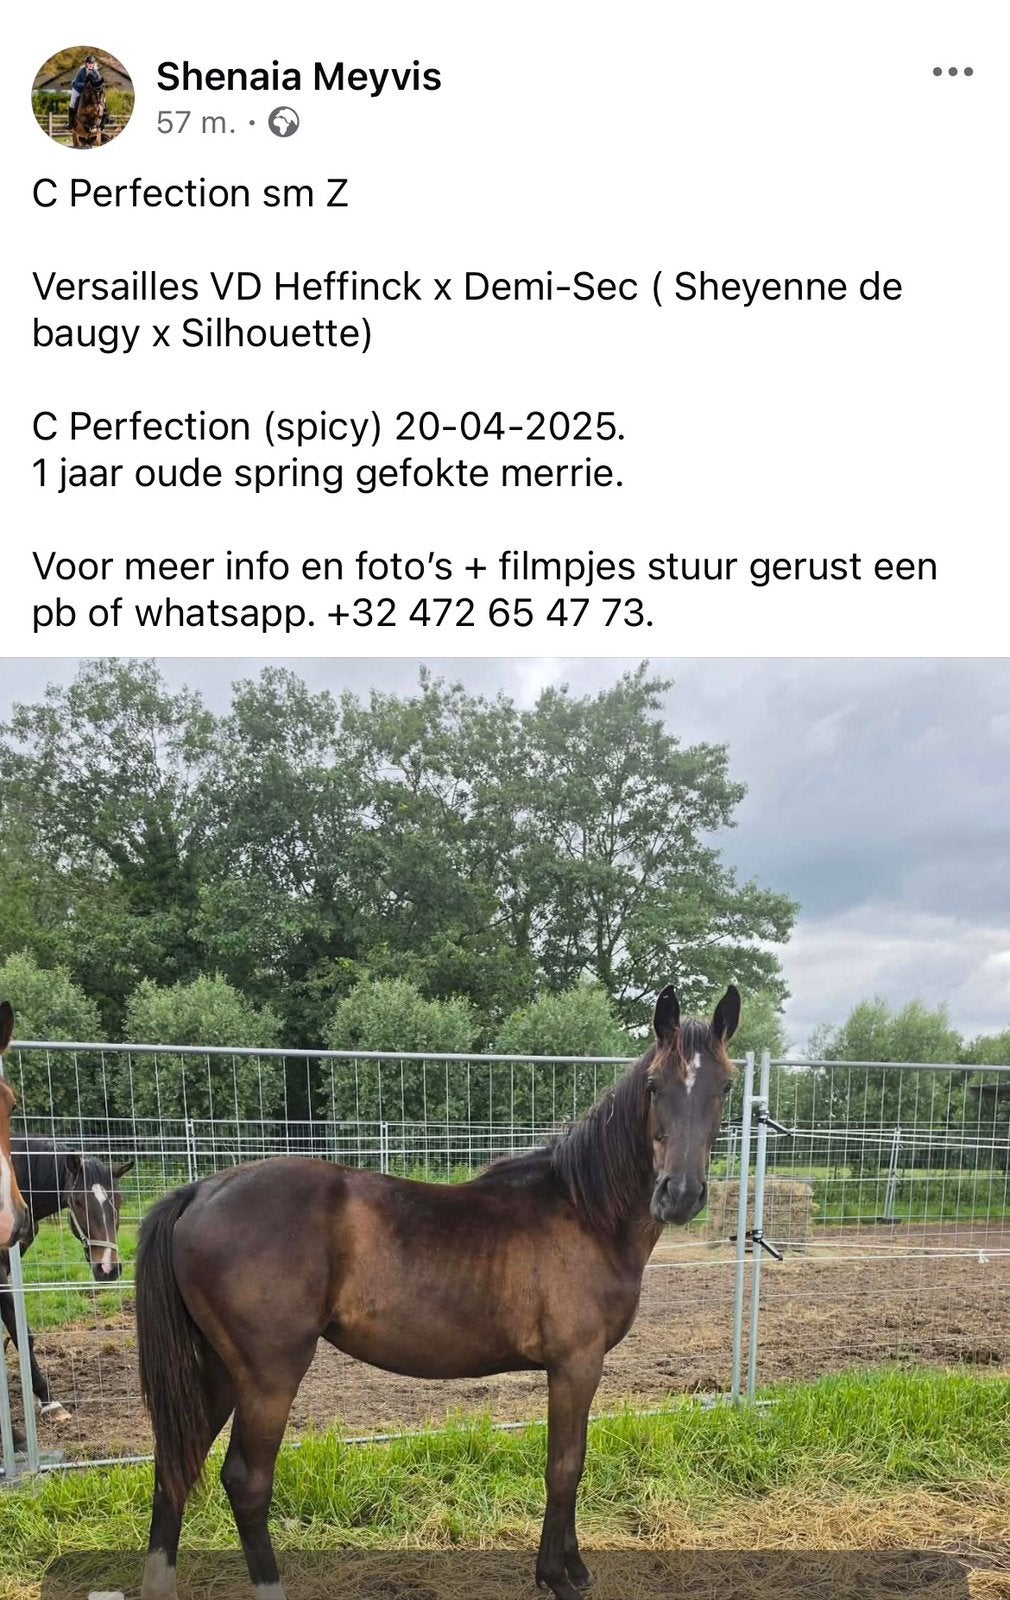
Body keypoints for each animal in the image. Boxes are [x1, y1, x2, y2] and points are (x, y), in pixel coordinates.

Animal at [135, 984, 740, 1600]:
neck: (584, 1210)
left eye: (726, 1086)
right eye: (654, 1085)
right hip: (268, 1375)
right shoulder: (575, 1364)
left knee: (175, 1462)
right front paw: (556, 1577)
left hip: (218, 1369)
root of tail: (200, 1191)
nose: (680, 1194)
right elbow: (564, 1466)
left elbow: (574, 1459)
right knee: (246, 1480)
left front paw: (572, 1567)